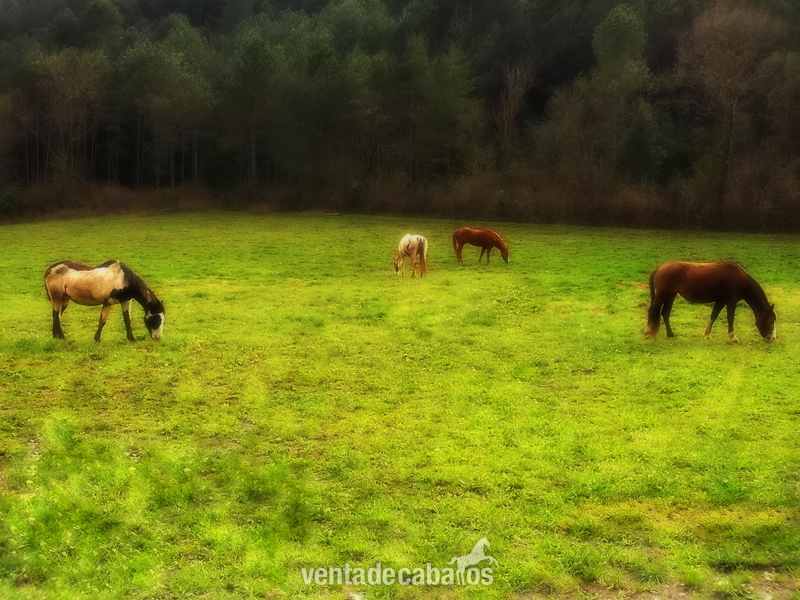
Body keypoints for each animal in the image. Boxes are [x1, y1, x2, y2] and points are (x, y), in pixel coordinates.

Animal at [645, 261, 776, 343]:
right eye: (771, 320)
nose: (772, 338)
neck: (739, 278)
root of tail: (659, 268)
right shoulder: (731, 301)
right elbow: (730, 318)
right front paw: (732, 338)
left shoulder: (721, 301)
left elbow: (714, 316)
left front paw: (707, 335)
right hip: (663, 295)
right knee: (652, 310)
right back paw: (648, 333)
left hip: (670, 296)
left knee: (665, 313)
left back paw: (670, 334)